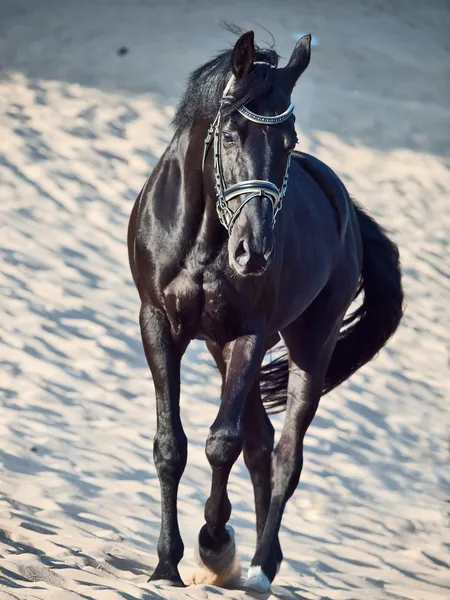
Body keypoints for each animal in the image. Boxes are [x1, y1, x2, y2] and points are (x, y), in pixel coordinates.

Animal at [127, 30, 404, 588]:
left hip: (309, 347)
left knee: (284, 454)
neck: (203, 238)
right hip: (218, 345)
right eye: (230, 135)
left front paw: (214, 543)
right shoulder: (158, 325)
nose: (254, 253)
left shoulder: (249, 335)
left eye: (290, 141)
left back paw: (257, 568)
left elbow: (221, 442)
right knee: (262, 442)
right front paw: (167, 565)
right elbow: (171, 446)